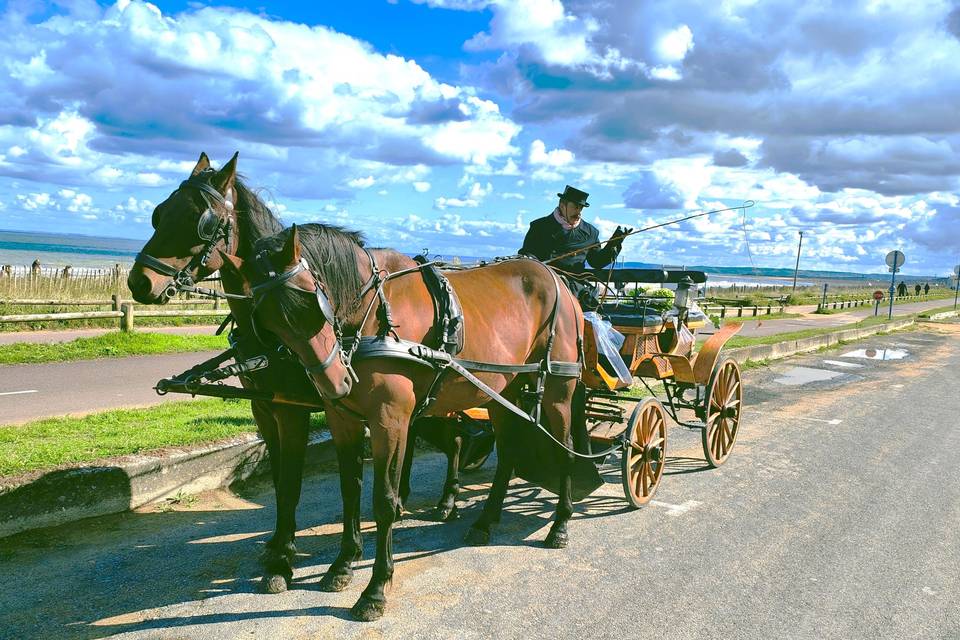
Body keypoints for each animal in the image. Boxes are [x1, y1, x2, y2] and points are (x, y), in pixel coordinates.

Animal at [126, 152, 464, 592]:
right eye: (159, 213)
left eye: (201, 221)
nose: (138, 282)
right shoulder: (264, 409)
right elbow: (279, 481)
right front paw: (278, 543)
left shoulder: (293, 410)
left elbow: (291, 481)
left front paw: (283, 560)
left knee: (456, 439)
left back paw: (448, 499)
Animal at [231, 222, 584, 616]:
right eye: (268, 323)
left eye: (312, 304)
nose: (335, 382)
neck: (373, 315)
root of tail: (555, 276)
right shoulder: (342, 419)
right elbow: (349, 491)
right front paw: (343, 565)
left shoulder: (390, 419)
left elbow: (384, 502)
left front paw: (375, 589)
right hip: (502, 390)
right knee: (507, 452)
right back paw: (485, 521)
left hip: (558, 390)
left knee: (566, 450)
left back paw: (560, 525)